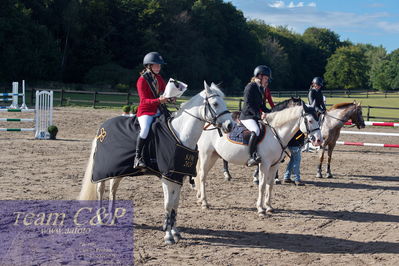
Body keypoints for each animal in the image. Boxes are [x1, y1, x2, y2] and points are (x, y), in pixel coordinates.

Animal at [77, 82, 233, 244]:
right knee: (100, 190)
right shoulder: (167, 177)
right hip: (103, 169)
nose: (230, 125)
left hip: (118, 170)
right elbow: (168, 204)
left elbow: (175, 203)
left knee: (113, 189)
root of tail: (102, 128)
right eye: (215, 103)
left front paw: (175, 232)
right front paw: (168, 236)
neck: (180, 134)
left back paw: (113, 218)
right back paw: (100, 219)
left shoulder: (178, 176)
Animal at [195, 103, 324, 217]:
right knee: (202, 176)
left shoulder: (275, 165)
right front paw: (261, 209)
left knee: (202, 174)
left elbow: (270, 185)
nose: (319, 140)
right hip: (206, 155)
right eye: (310, 121)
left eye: (319, 120)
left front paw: (269, 207)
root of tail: (207, 125)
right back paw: (205, 203)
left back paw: (200, 199)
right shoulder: (264, 164)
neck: (276, 134)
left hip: (213, 156)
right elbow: (262, 185)